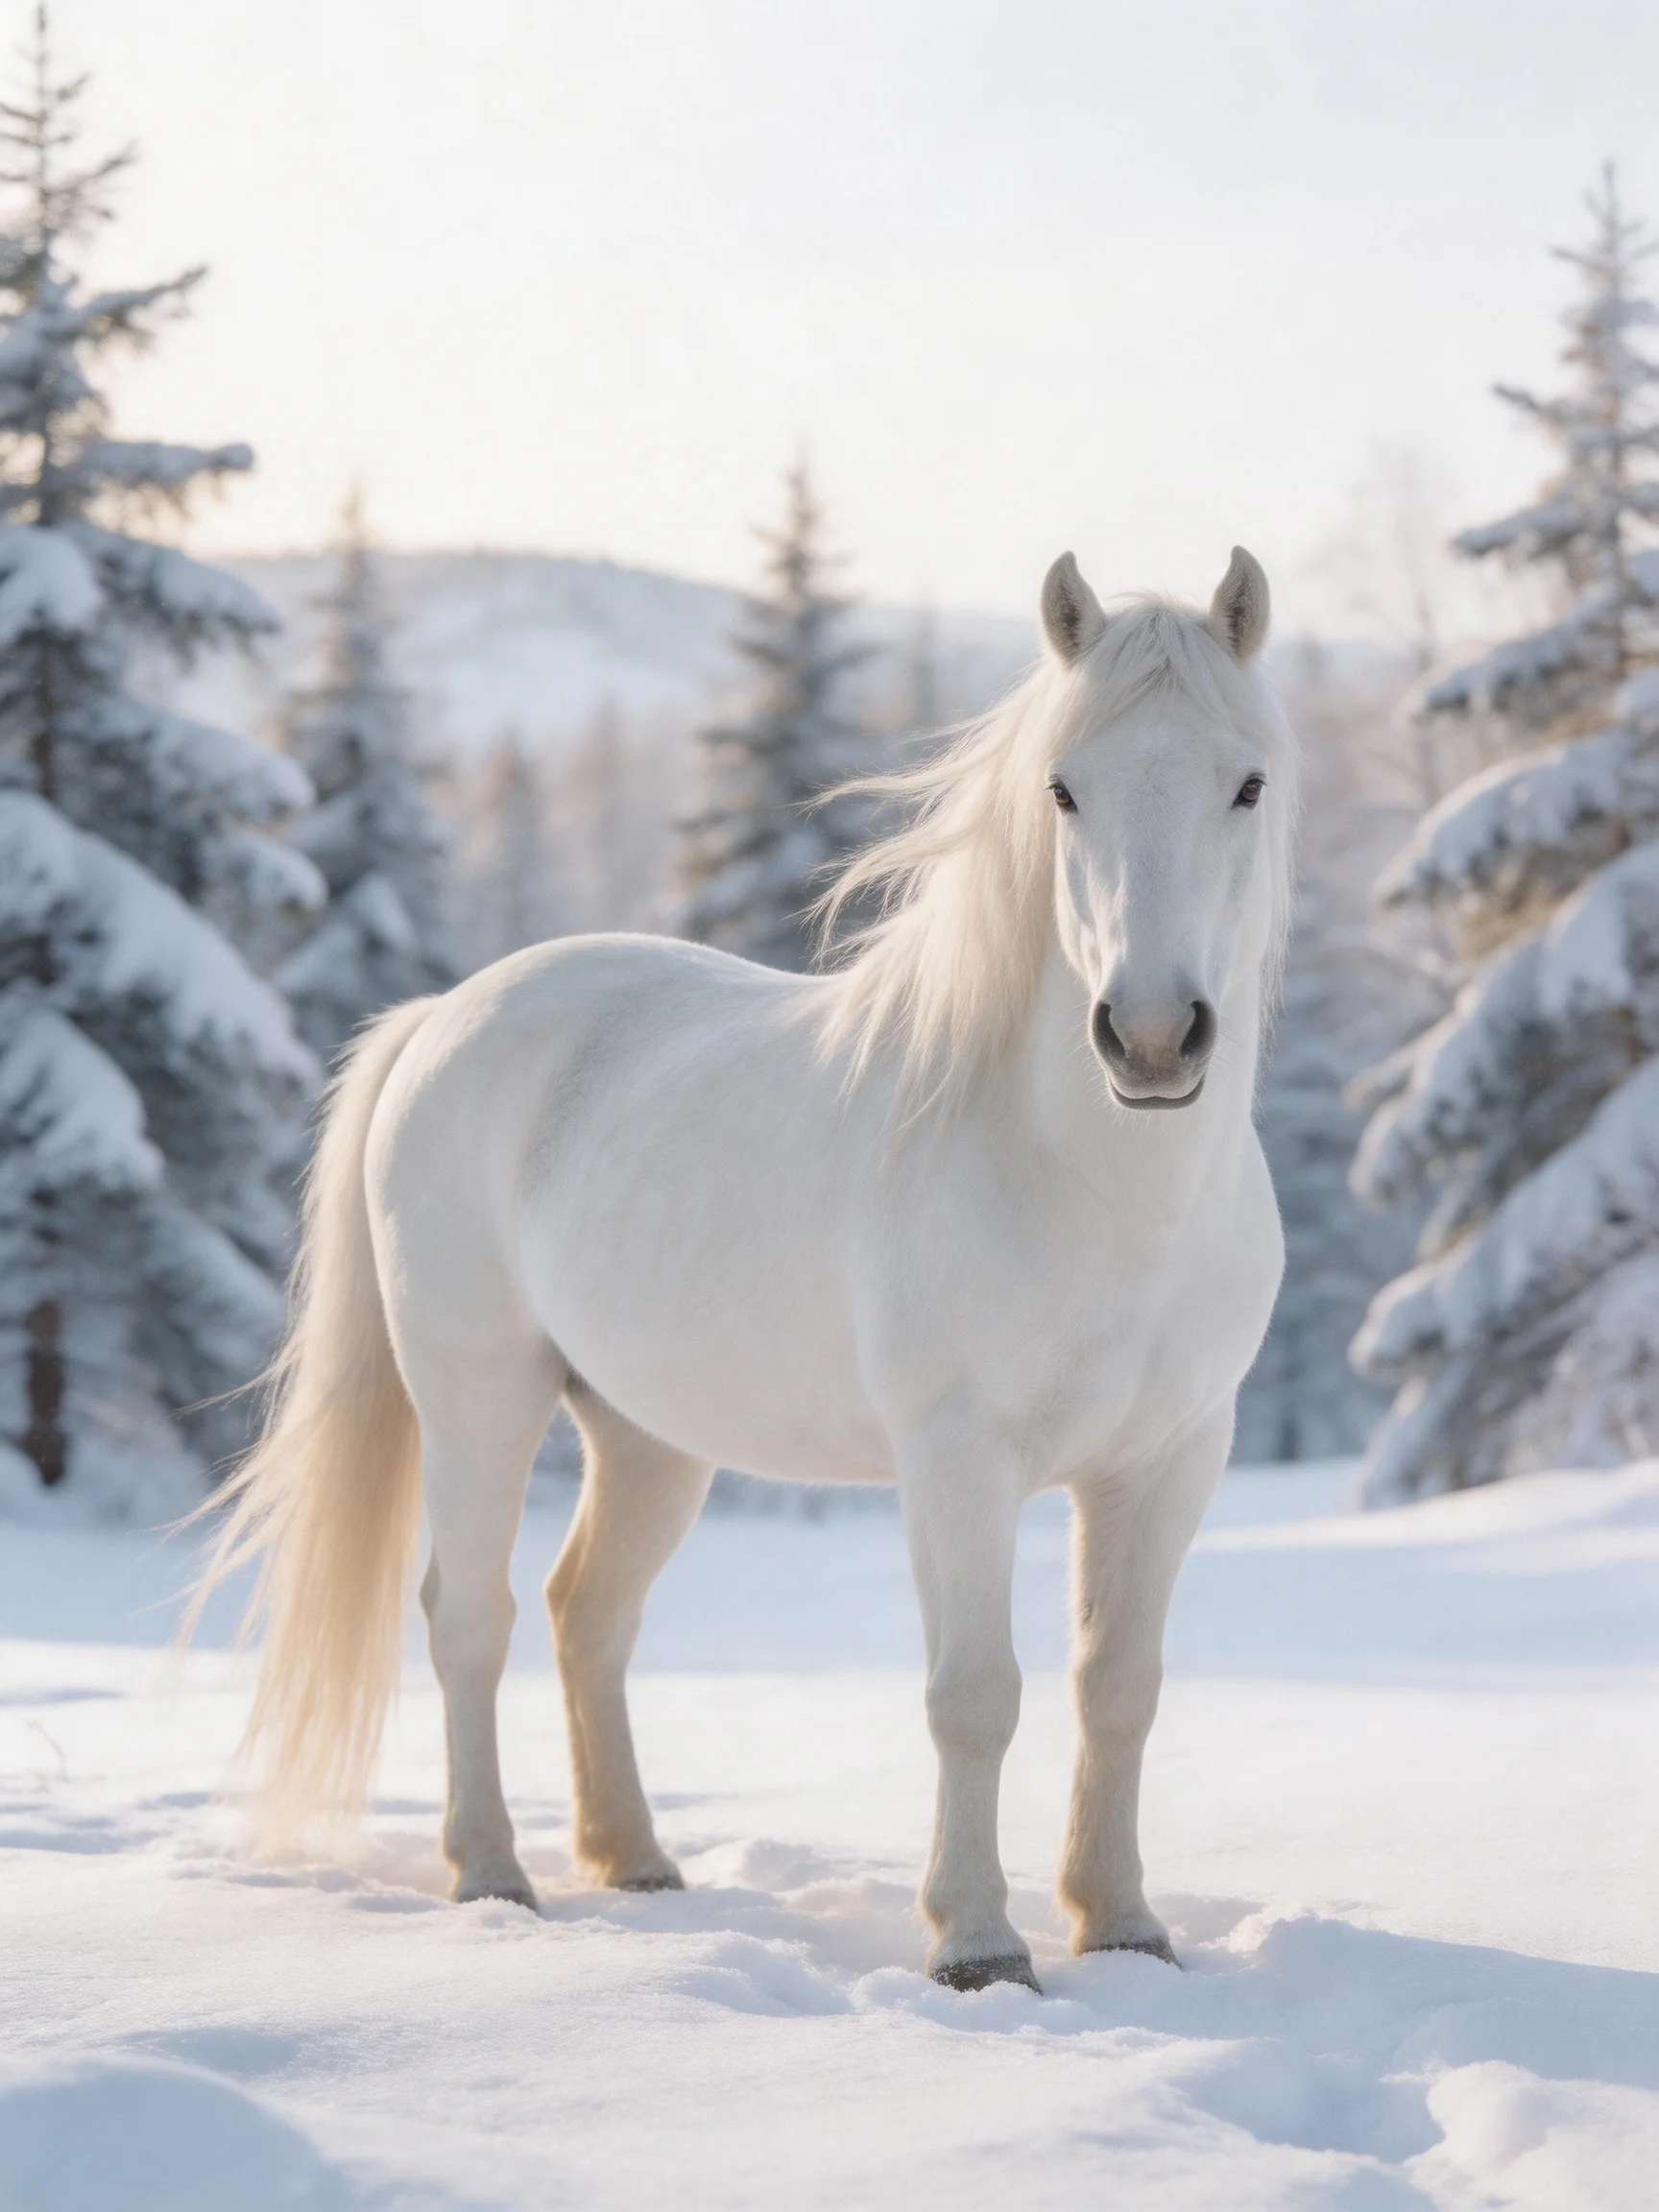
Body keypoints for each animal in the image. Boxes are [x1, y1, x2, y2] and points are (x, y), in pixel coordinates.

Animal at [195, 546, 1295, 1995]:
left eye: (1247, 783)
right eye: (1065, 788)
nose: (1156, 1039)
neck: (1096, 1192)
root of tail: (442, 1017)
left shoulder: (1167, 1464)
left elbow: (1118, 1688)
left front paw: (1121, 1927)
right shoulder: (959, 1464)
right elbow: (975, 1696)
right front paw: (979, 1945)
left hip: (648, 1437)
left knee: (587, 1614)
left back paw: (635, 1860)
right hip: (478, 1400)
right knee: (470, 1615)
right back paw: (491, 1874)